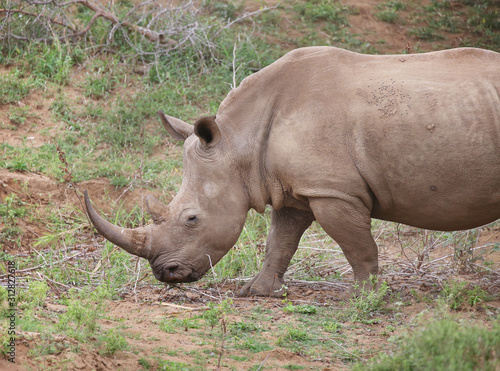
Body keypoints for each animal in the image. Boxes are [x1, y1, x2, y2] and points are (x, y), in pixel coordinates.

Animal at [84, 47, 498, 296]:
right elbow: (280, 240)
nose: (165, 274)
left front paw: (366, 298)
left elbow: (357, 246)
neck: (238, 140)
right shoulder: (296, 189)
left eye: (192, 219)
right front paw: (257, 291)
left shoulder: (333, 190)